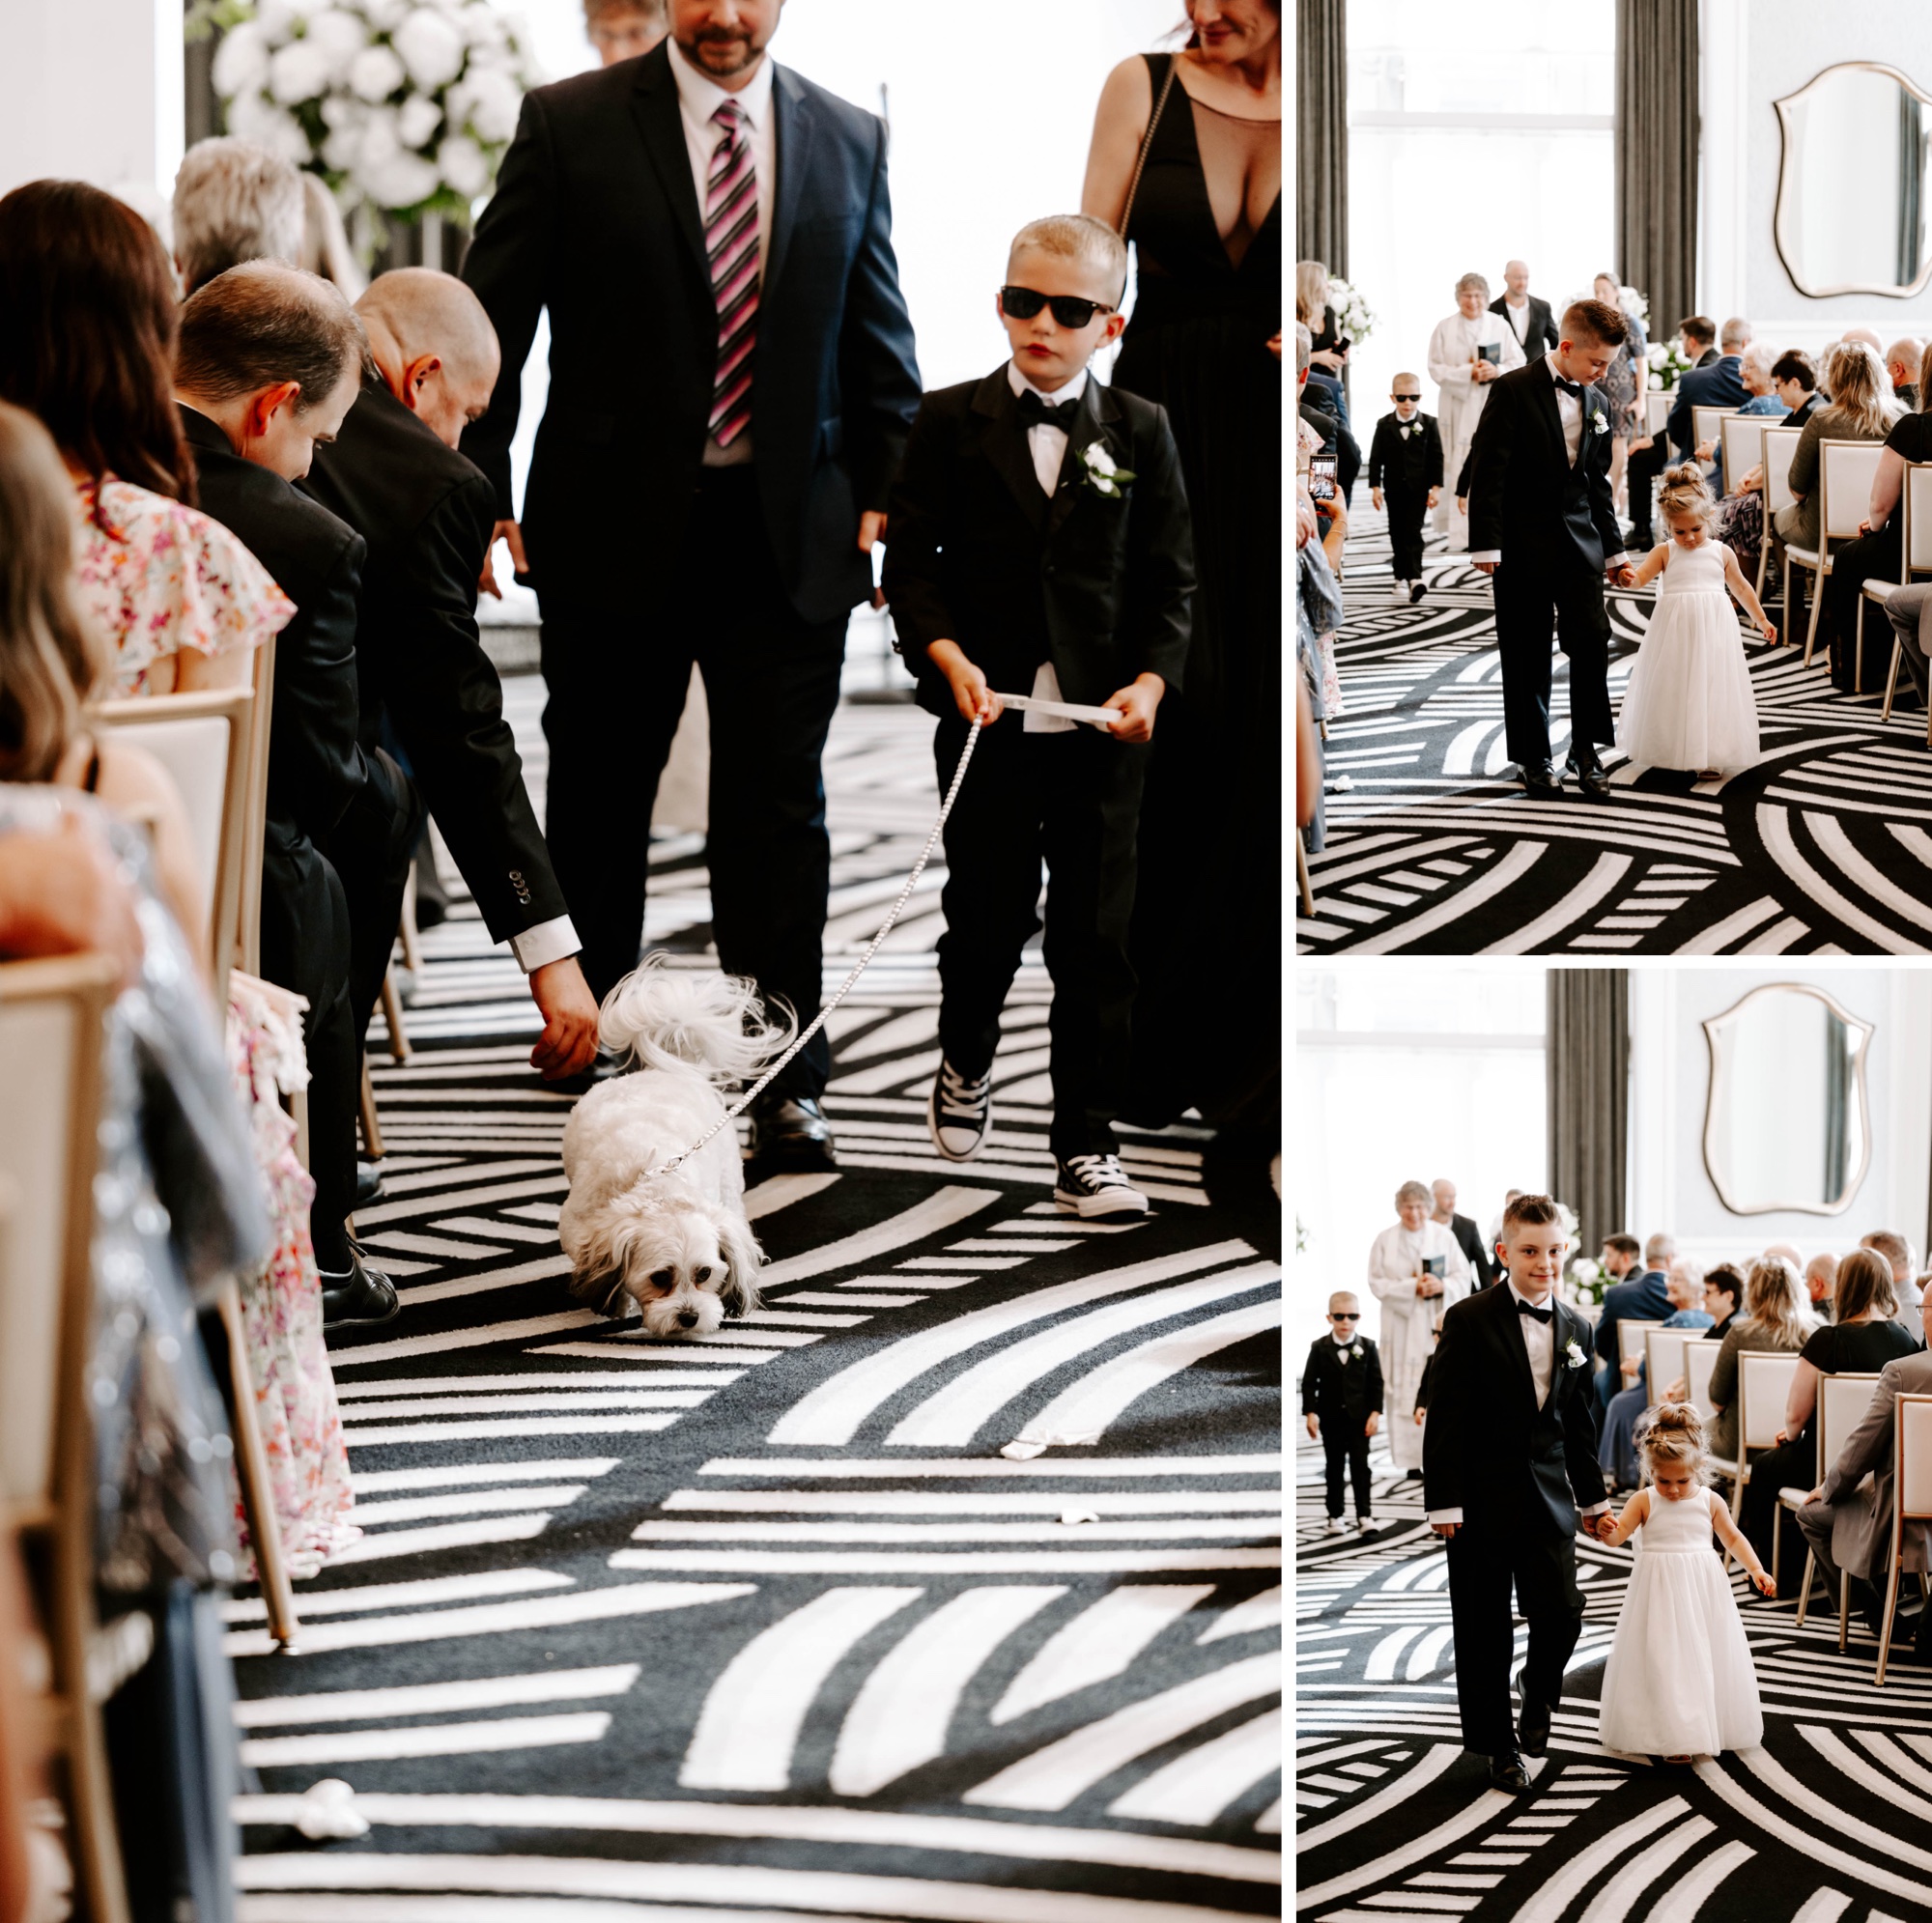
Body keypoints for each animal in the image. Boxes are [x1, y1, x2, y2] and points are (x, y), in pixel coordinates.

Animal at [560, 957, 792, 1336]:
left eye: (705, 1273)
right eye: (660, 1277)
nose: (689, 1317)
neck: (657, 1183)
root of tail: (670, 1070)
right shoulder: (576, 1229)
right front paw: (618, 1302)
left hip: (729, 1185)